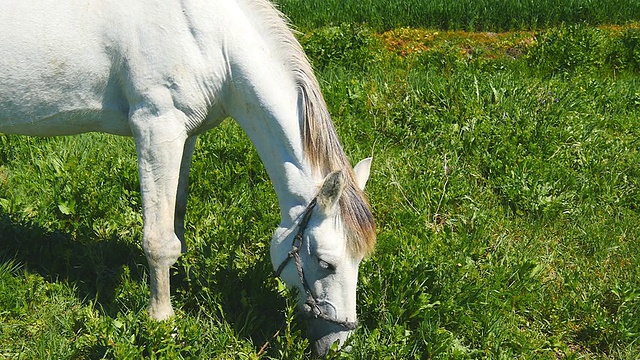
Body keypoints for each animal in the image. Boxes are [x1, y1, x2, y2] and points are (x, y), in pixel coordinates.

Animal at [0, 0, 378, 356]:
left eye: (359, 260)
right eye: (326, 263)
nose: (340, 342)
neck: (210, 36)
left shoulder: (186, 134)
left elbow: (176, 221)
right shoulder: (157, 126)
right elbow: (158, 241)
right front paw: (161, 323)